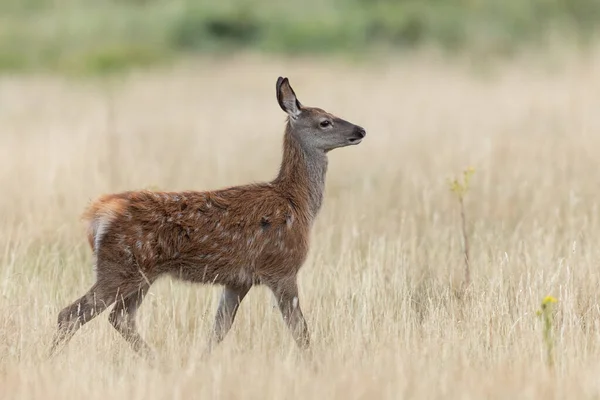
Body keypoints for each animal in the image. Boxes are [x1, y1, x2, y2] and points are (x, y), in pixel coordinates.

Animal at [49, 76, 366, 360]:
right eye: (324, 121)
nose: (360, 130)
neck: (298, 203)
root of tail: (97, 214)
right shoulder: (281, 267)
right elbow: (300, 330)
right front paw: (316, 365)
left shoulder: (238, 279)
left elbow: (219, 329)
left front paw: (201, 361)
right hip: (120, 267)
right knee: (71, 314)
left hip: (140, 274)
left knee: (120, 317)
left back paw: (157, 361)